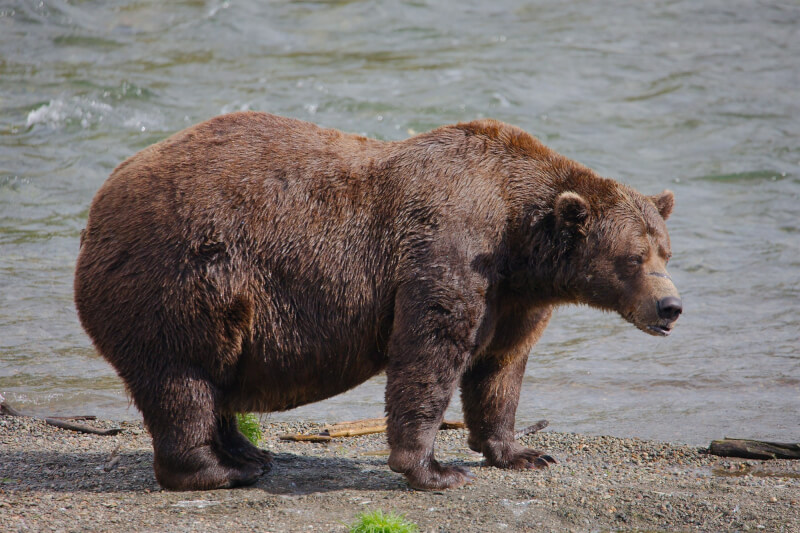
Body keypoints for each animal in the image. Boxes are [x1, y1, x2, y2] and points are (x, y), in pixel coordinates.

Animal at [74, 112, 682, 491]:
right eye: (633, 258)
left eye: (666, 251)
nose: (670, 307)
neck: (519, 239)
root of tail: (97, 207)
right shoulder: (450, 247)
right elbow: (430, 350)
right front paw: (435, 470)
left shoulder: (514, 297)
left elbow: (500, 368)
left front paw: (522, 453)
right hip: (181, 278)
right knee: (183, 378)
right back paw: (219, 470)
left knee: (214, 379)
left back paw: (249, 453)